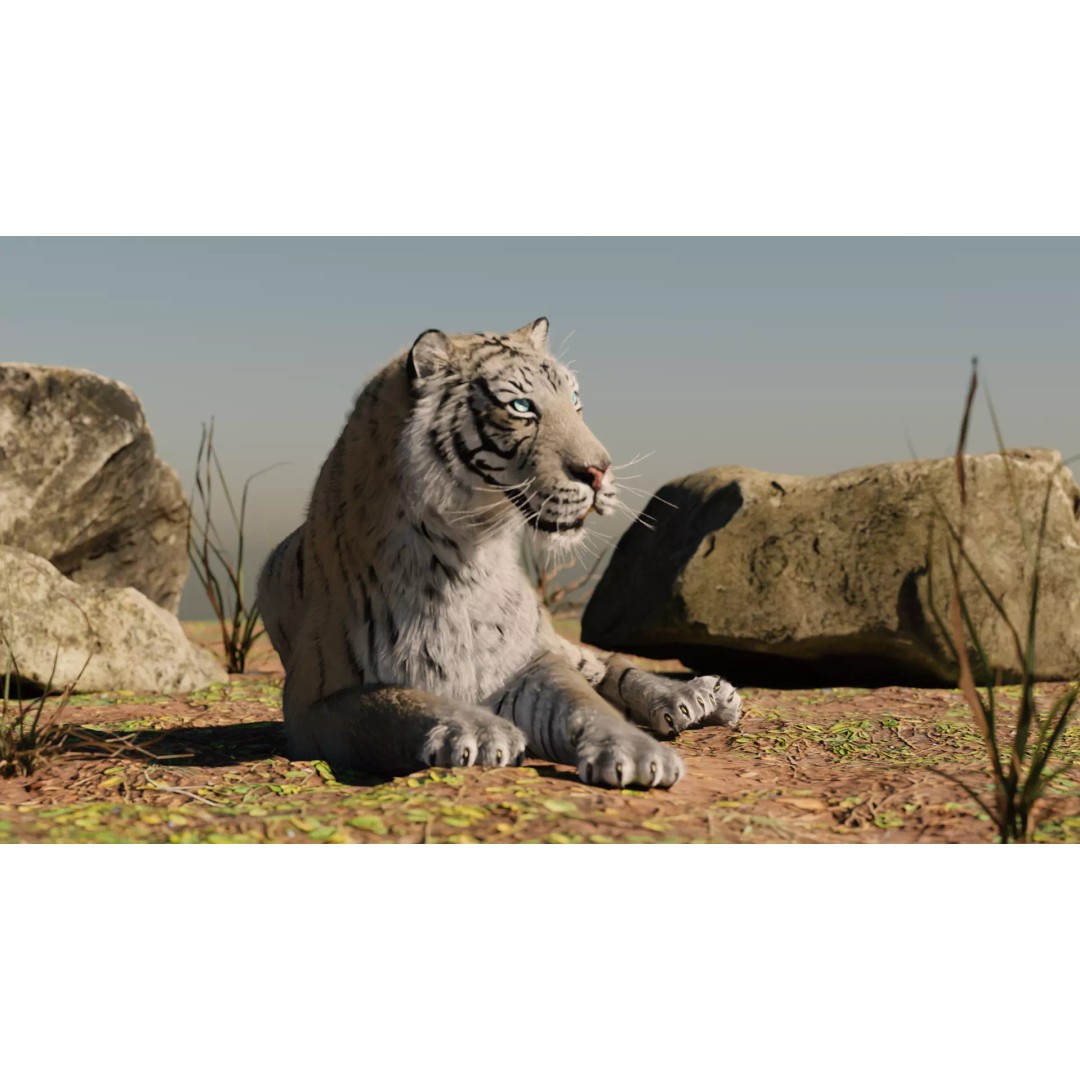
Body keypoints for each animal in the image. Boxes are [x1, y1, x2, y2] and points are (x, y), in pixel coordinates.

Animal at [257, 318, 741, 789]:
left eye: (575, 400)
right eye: (522, 407)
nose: (600, 471)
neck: (462, 557)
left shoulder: (528, 659)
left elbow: (585, 703)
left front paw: (637, 752)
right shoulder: (313, 704)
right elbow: (394, 702)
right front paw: (476, 730)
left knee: (607, 664)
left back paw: (700, 696)